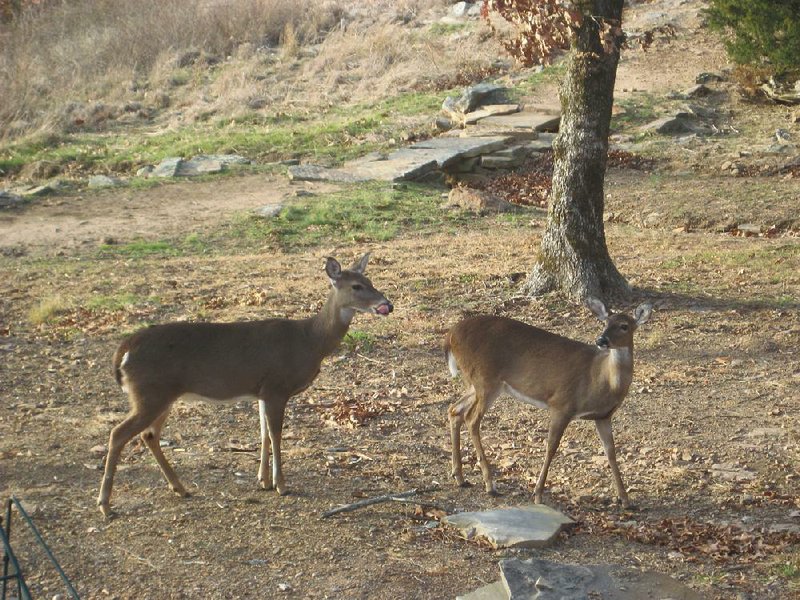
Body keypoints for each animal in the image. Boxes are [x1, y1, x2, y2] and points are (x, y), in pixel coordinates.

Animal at [98, 253, 392, 516]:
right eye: (356, 286)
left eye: (370, 279)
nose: (387, 304)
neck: (310, 341)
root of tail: (123, 351)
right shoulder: (276, 387)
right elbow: (275, 433)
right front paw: (281, 485)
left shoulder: (261, 391)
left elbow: (263, 433)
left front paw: (263, 481)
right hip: (150, 392)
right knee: (118, 433)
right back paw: (105, 505)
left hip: (162, 395)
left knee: (148, 435)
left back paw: (180, 488)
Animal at [444, 298, 648, 506]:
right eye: (605, 322)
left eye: (624, 326)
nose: (601, 340)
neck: (601, 378)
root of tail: (450, 335)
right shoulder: (561, 404)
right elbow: (551, 446)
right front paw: (538, 494)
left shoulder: (603, 416)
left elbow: (611, 452)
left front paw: (625, 499)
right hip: (486, 381)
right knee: (471, 419)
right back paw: (489, 484)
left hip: (478, 384)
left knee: (455, 410)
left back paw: (459, 477)